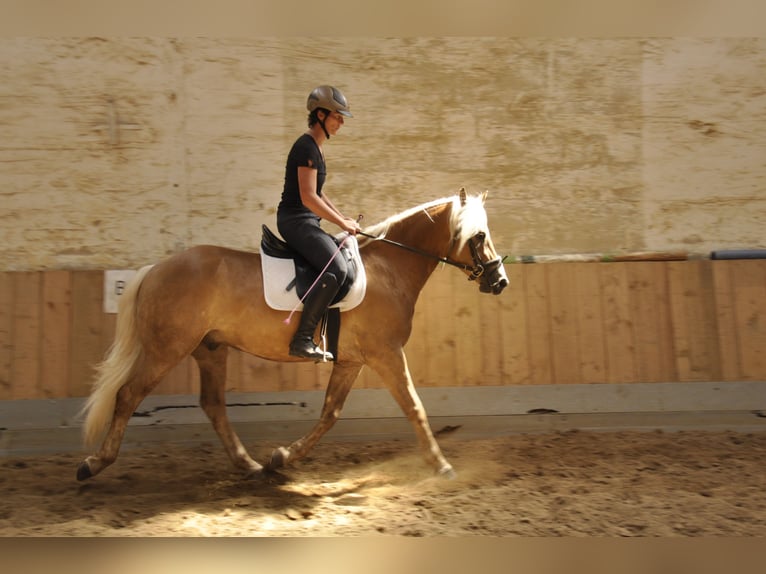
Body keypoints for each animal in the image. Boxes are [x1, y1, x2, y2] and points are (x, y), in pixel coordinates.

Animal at [76, 189, 510, 482]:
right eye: (478, 236)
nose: (500, 280)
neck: (389, 269)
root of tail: (156, 268)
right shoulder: (386, 354)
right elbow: (414, 407)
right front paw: (442, 465)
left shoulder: (352, 361)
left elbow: (330, 412)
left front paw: (282, 456)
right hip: (167, 349)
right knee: (128, 395)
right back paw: (93, 464)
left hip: (210, 349)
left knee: (213, 405)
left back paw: (250, 464)